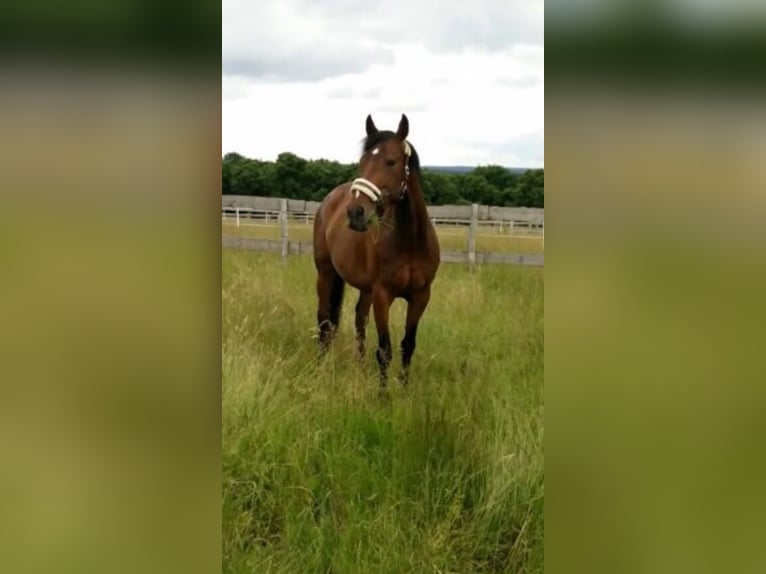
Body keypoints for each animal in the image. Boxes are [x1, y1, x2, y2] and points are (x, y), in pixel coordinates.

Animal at [312, 113, 440, 386]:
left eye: (391, 161)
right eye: (362, 161)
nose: (355, 212)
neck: (410, 242)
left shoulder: (421, 296)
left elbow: (407, 346)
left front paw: (404, 389)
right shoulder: (383, 295)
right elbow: (385, 350)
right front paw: (383, 394)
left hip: (365, 288)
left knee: (359, 320)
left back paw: (360, 368)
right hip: (326, 273)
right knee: (324, 321)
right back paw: (319, 366)